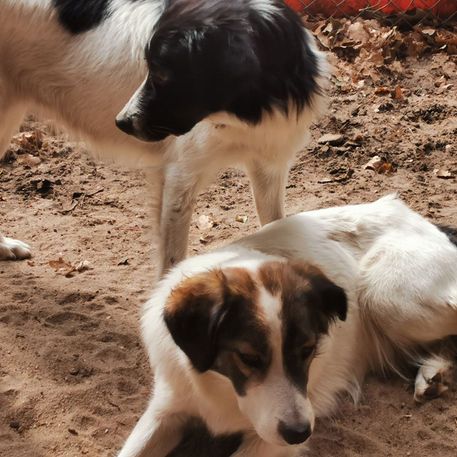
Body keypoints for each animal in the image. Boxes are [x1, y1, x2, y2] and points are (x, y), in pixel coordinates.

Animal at [116, 193, 456, 456]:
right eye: (248, 357)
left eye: (308, 351)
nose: (299, 433)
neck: (221, 389)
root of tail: (412, 215)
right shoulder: (169, 407)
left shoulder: (270, 441)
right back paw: (432, 373)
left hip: (384, 295)